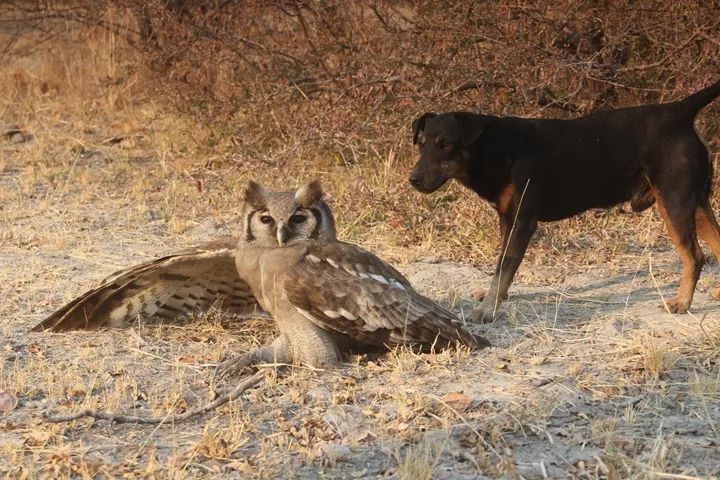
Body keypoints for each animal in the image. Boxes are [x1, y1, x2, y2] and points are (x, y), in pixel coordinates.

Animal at [408, 79, 720, 322]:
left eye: (446, 145)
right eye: (421, 145)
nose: (413, 179)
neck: (494, 148)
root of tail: (680, 111)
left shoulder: (522, 222)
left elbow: (503, 267)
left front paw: (487, 310)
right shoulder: (507, 219)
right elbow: (503, 266)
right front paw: (496, 299)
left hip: (675, 203)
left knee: (695, 257)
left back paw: (682, 302)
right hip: (695, 203)